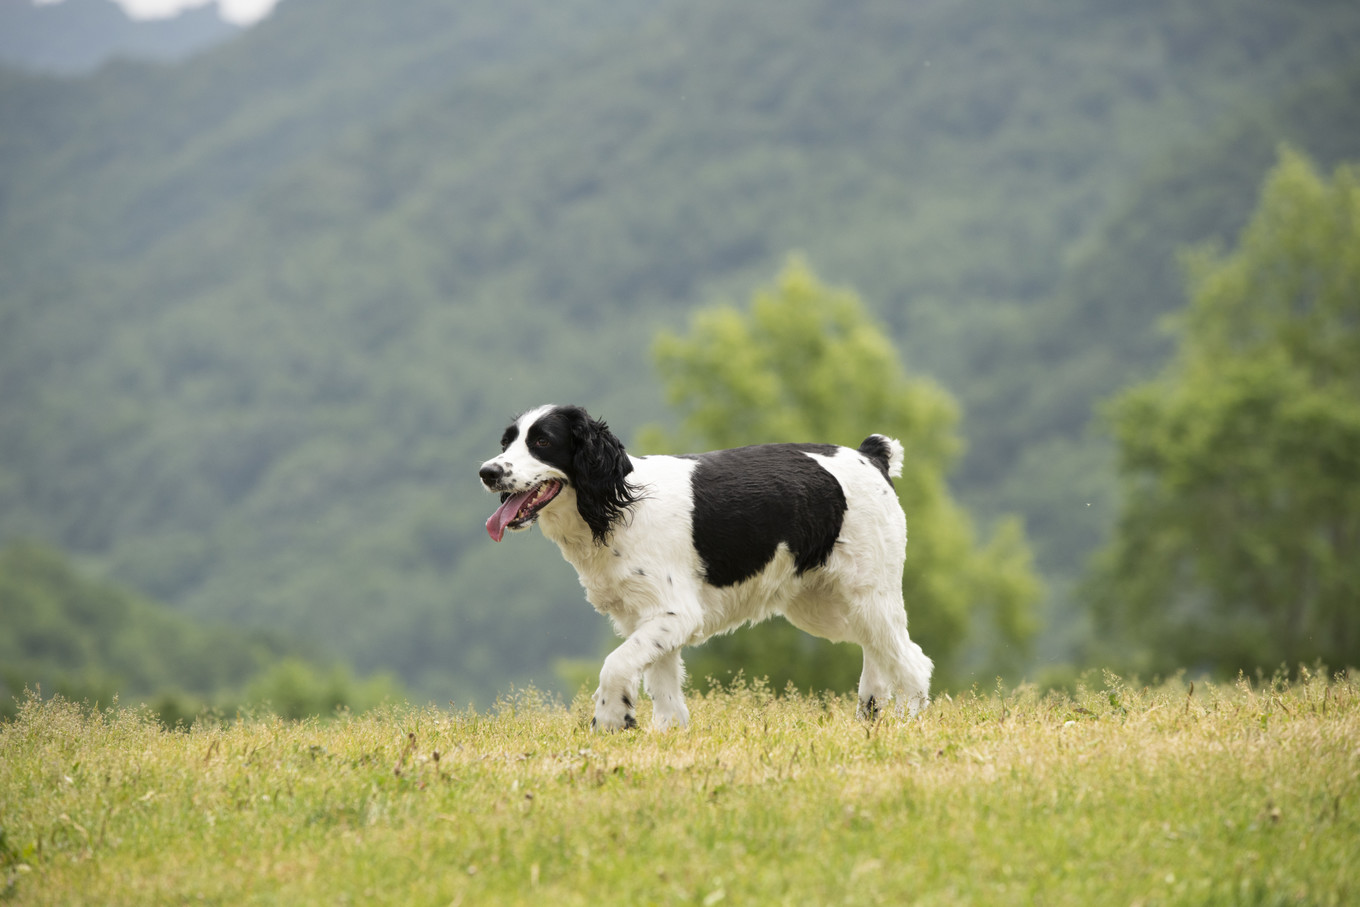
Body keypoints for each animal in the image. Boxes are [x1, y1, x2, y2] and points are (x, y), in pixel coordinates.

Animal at [478, 405, 935, 728]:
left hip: (868, 594)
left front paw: (610, 719)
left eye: (542, 441)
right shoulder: (646, 619)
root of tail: (871, 455)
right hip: (827, 607)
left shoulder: (674, 613)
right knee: (880, 653)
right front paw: (665, 734)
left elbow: (616, 665)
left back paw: (907, 725)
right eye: (506, 442)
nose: (487, 471)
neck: (617, 506)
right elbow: (663, 689)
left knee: (913, 662)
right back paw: (868, 720)